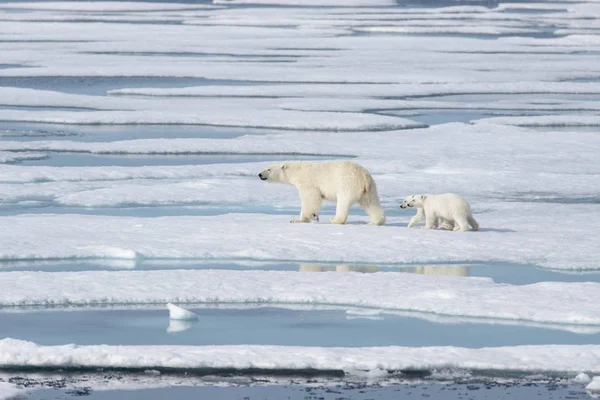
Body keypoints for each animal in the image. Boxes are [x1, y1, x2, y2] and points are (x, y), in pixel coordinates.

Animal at [256, 162, 384, 225]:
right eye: (265, 168)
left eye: (269, 169)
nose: (260, 174)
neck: (297, 170)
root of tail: (364, 177)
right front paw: (296, 220)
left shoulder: (307, 182)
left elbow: (311, 198)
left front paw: (312, 216)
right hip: (369, 189)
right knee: (371, 203)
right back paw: (376, 221)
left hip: (347, 184)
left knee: (343, 202)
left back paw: (335, 220)